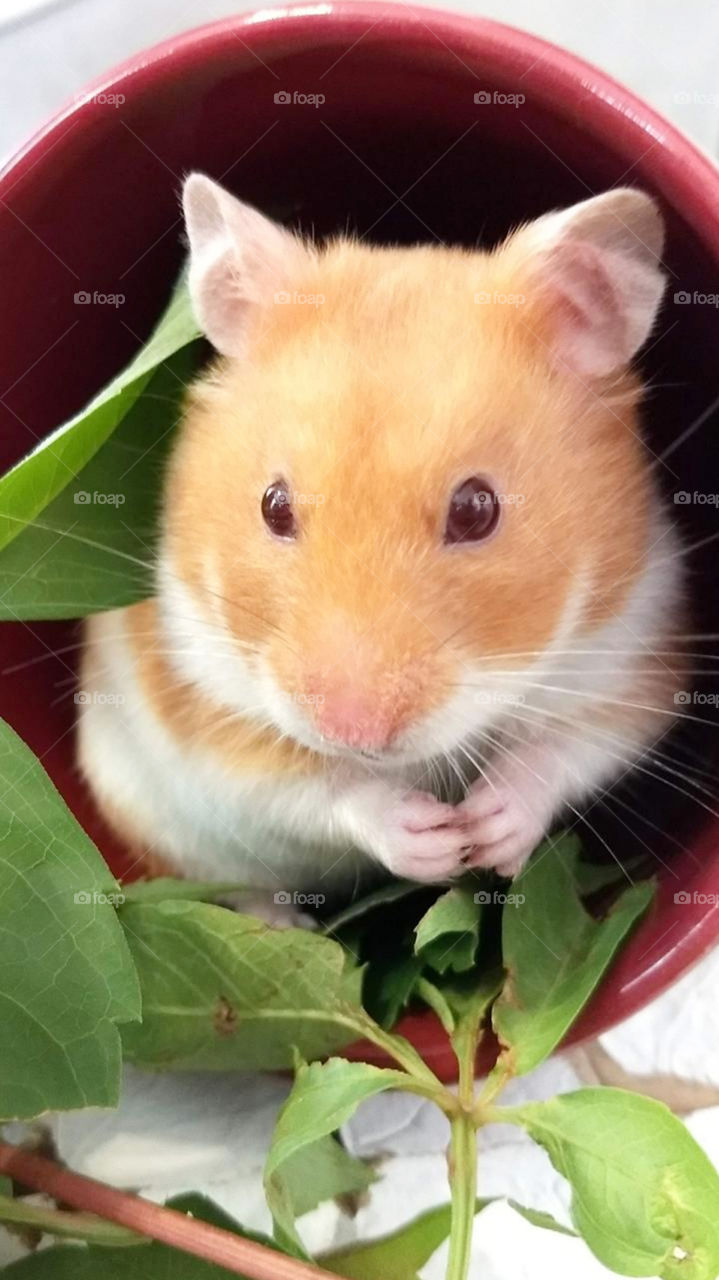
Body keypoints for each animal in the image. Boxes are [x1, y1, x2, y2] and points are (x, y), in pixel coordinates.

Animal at [77, 174, 686, 906]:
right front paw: (433, 840)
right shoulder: (202, 703)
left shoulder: (636, 657)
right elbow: (320, 787)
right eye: (273, 506)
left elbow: (568, 746)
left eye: (477, 509)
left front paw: (486, 832)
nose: (354, 732)